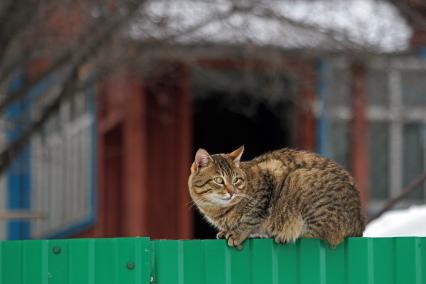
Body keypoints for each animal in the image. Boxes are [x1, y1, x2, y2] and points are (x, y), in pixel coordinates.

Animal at [188, 146, 364, 248]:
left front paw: (237, 233)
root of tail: (359, 225)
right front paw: (227, 230)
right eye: (219, 180)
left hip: (299, 178)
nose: (232, 192)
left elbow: (250, 218)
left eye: (236, 180)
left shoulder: (266, 187)